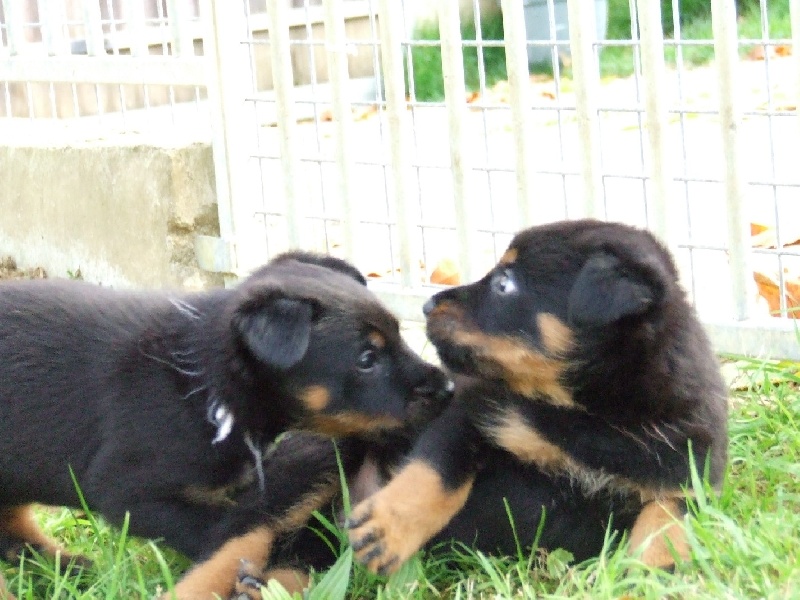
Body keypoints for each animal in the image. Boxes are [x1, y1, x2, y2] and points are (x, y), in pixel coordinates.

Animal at [0, 251, 450, 596]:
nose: (446, 388)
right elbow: (229, 530)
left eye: (399, 335)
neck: (207, 388)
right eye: (367, 359)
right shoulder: (130, 492)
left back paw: (65, 566)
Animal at [346, 219, 728, 572]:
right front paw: (386, 527)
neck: (585, 415)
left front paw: (646, 577)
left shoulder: (689, 472)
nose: (427, 305)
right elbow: (437, 470)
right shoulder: (473, 409)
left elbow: (666, 522)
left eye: (504, 284)